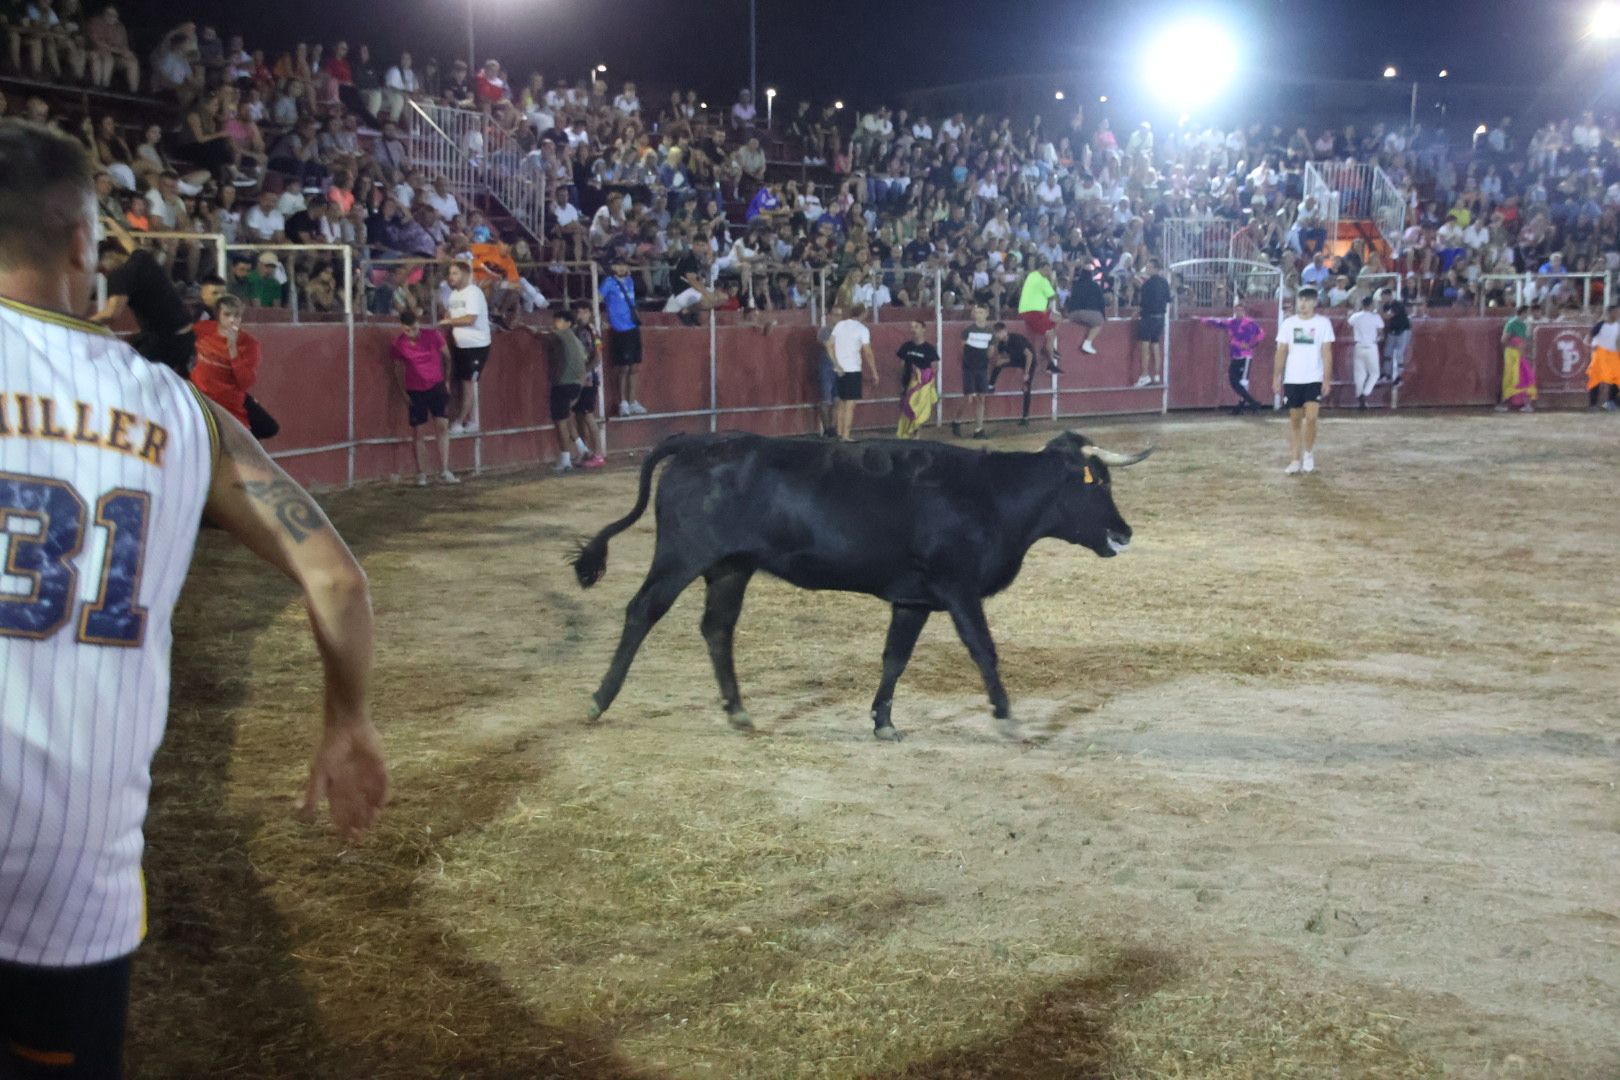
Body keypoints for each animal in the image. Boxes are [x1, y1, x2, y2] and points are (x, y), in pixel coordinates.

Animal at [573, 433, 1153, 738]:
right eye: (1095, 484)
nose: (1124, 533)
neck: (991, 495)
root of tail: (701, 442)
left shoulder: (913, 599)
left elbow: (894, 657)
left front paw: (883, 721)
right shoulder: (957, 588)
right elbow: (983, 649)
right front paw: (1007, 717)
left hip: (731, 568)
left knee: (718, 628)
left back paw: (738, 710)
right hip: (681, 557)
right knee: (642, 611)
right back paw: (598, 700)